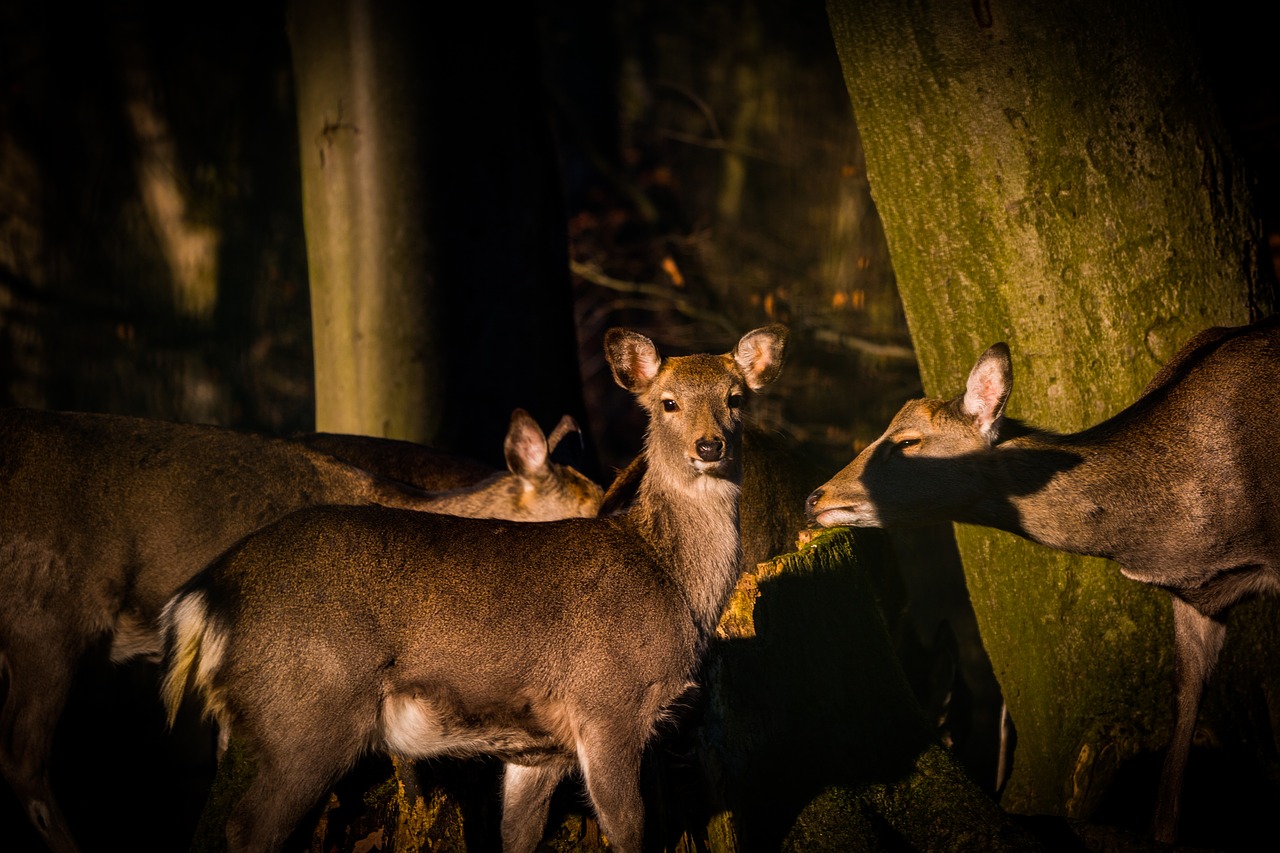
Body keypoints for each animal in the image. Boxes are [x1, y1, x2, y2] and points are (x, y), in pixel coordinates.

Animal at [154, 320, 783, 850]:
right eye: (667, 402)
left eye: (735, 400)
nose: (709, 446)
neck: (671, 580)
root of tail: (206, 593)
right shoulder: (608, 705)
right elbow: (628, 830)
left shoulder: (539, 749)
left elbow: (517, 835)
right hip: (305, 711)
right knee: (247, 828)